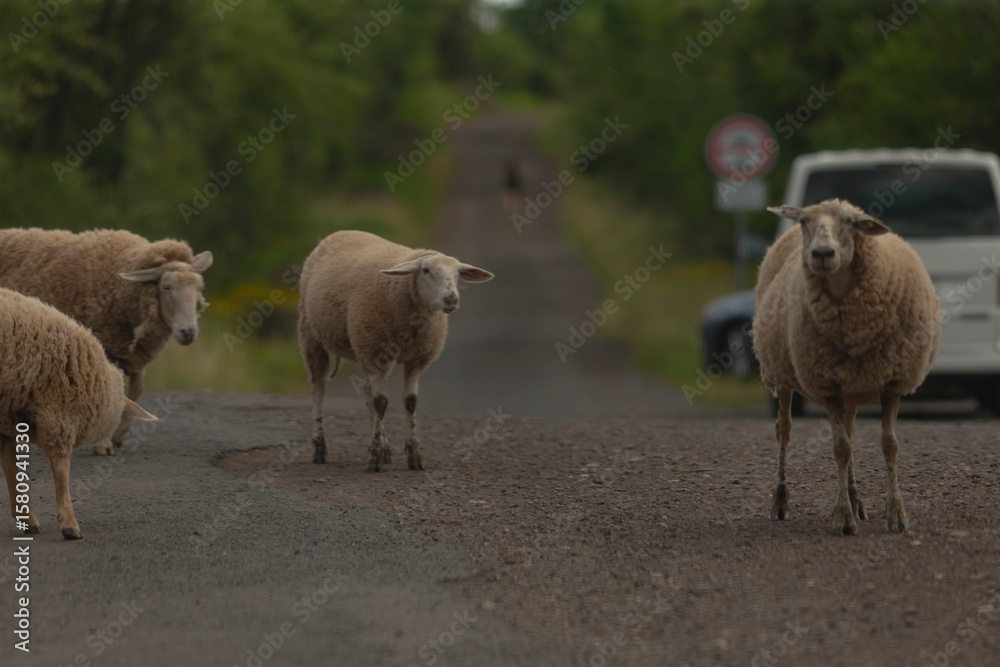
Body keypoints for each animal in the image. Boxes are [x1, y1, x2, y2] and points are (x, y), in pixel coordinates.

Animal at [0, 228, 211, 454]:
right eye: (166, 287)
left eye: (200, 287)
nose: (188, 332)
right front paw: (103, 444)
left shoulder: (133, 352)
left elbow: (137, 388)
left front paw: (119, 436)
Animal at [0, 288, 157, 539]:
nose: (112, 445)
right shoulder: (58, 414)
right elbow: (61, 470)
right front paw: (69, 523)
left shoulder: (7, 414)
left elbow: (10, 465)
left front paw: (26, 518)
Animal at [298, 230, 494, 472]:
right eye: (426, 270)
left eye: (458, 273)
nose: (451, 300)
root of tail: (342, 232)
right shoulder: (372, 351)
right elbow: (381, 402)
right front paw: (374, 458)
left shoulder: (414, 360)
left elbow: (409, 402)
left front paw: (413, 455)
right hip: (311, 335)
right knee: (319, 390)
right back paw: (320, 448)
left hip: (367, 350)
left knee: (367, 394)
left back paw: (384, 447)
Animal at [751, 198, 940, 536]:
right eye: (804, 222)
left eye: (852, 224)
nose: (822, 253)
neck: (855, 327)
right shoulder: (828, 387)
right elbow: (840, 448)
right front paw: (843, 518)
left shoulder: (892, 383)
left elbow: (889, 445)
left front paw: (896, 514)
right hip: (783, 376)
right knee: (784, 430)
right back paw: (781, 501)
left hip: (853, 384)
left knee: (851, 430)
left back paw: (856, 499)